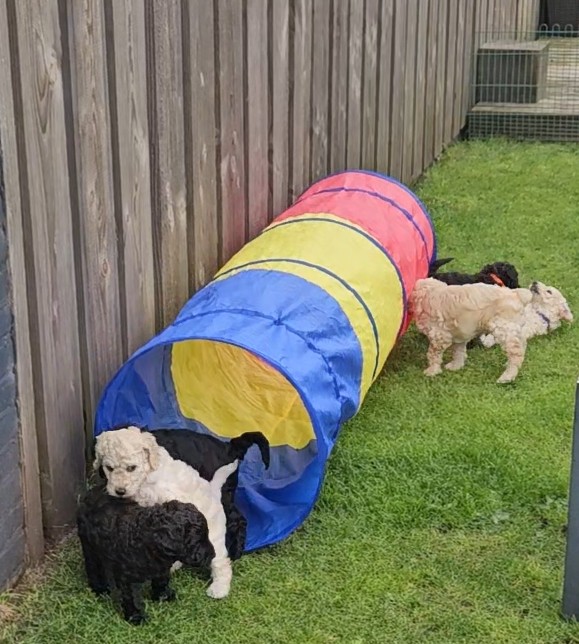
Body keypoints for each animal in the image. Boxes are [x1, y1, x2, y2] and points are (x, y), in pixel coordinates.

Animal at [76, 486, 214, 628]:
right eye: (198, 540)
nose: (213, 555)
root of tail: (88, 494)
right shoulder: (128, 577)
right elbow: (132, 597)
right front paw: (136, 617)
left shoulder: (161, 567)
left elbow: (161, 581)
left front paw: (163, 596)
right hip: (89, 545)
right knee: (93, 566)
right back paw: (100, 589)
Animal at [95, 428, 238, 600]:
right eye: (109, 468)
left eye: (131, 468)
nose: (119, 491)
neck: (147, 474)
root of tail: (215, 492)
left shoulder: (170, 494)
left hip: (214, 537)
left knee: (221, 562)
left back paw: (219, 588)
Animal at [412, 276, 572, 382]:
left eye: (549, 291)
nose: (534, 283)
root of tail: (516, 294)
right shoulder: (461, 332)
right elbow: (458, 350)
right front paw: (455, 366)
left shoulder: (439, 335)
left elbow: (433, 353)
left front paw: (431, 371)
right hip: (513, 328)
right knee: (520, 346)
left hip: (502, 327)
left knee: (516, 352)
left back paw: (507, 376)